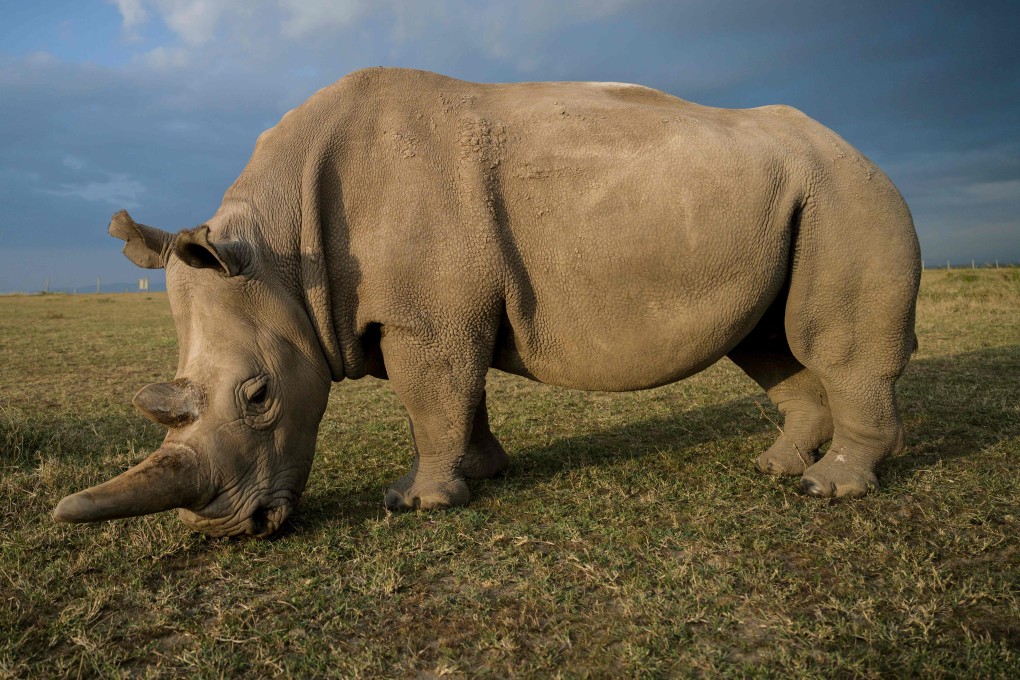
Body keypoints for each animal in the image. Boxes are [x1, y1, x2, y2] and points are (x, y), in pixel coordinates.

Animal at [52, 68, 920, 537]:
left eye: (259, 396)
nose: (236, 529)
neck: (279, 252)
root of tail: (859, 149)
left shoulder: (423, 319)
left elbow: (430, 398)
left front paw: (416, 502)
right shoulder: (441, 313)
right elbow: (459, 398)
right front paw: (482, 472)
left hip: (846, 192)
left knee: (827, 340)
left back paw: (831, 488)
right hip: (789, 199)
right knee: (767, 343)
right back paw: (776, 468)